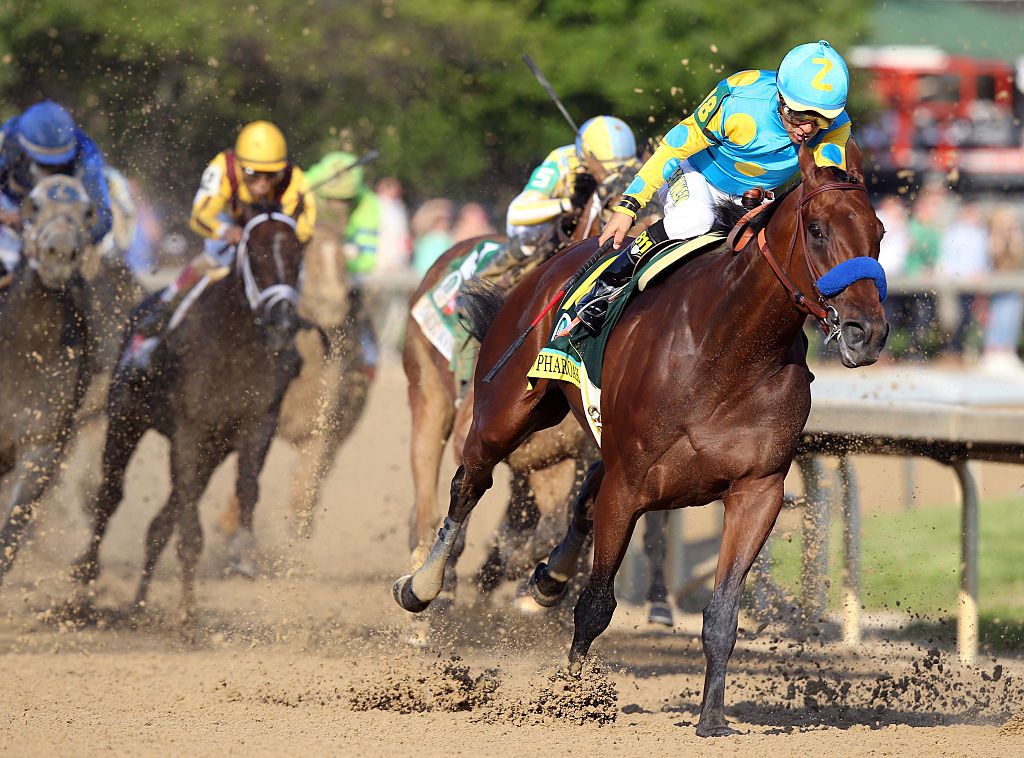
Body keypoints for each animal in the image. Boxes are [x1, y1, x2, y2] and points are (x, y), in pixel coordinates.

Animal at [74, 209, 303, 618]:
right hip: (126, 418)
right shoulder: (189, 429)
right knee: (109, 495)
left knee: (164, 517)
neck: (234, 347)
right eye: (255, 255)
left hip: (212, 451)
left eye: (297, 256)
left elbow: (246, 486)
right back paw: (87, 577)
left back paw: (145, 601)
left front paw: (242, 557)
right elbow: (185, 519)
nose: (282, 320)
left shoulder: (254, 425)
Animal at [391, 143, 888, 733]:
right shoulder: (627, 487)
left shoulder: (757, 490)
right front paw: (570, 695)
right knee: (468, 482)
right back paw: (422, 587)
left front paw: (711, 717)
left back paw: (545, 578)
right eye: (816, 230)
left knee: (571, 505)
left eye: (879, 231)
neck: (728, 350)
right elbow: (595, 604)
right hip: (499, 410)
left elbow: (722, 613)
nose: (867, 332)